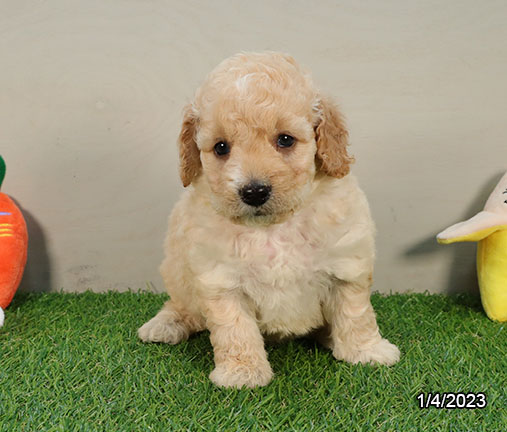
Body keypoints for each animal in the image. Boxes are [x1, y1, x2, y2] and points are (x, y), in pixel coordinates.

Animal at [140, 51, 400, 388]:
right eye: (221, 147)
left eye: (285, 140)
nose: (253, 191)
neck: (272, 228)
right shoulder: (220, 280)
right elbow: (235, 328)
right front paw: (242, 372)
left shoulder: (346, 265)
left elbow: (356, 312)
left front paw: (366, 350)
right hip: (175, 268)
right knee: (181, 303)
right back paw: (166, 324)